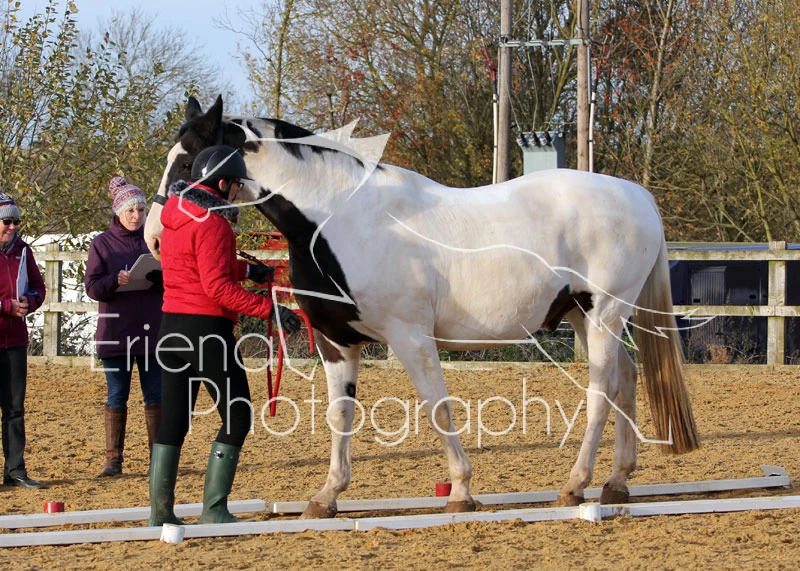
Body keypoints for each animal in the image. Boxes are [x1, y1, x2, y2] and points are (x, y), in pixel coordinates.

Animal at [145, 95, 699, 517]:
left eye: (190, 162)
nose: (154, 236)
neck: (343, 218)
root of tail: (636, 195)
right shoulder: (336, 342)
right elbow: (339, 414)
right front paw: (327, 496)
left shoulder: (410, 337)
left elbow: (437, 407)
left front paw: (461, 491)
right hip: (585, 318)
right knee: (626, 381)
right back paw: (617, 482)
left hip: (604, 316)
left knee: (603, 390)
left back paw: (575, 483)